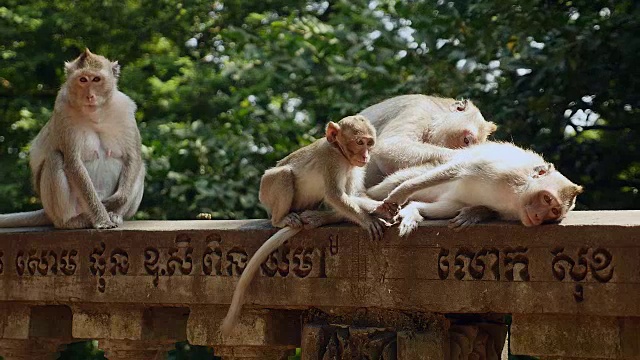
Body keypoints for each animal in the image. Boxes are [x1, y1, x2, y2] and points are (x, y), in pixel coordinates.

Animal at [0, 48, 145, 228]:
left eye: (96, 79)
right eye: (82, 80)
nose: (90, 96)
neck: (96, 116)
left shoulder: (125, 110)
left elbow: (133, 157)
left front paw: (115, 203)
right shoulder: (63, 114)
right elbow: (74, 164)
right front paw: (102, 219)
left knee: (141, 167)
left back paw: (115, 214)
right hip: (58, 209)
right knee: (55, 158)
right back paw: (73, 221)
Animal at [221, 114, 384, 334]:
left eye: (369, 143)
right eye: (359, 142)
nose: (366, 156)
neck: (341, 153)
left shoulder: (353, 168)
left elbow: (352, 195)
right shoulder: (331, 161)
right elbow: (335, 196)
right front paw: (368, 219)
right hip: (267, 190)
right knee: (284, 175)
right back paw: (282, 219)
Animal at [368, 141, 584, 236]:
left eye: (553, 211)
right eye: (547, 198)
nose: (539, 216)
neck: (518, 193)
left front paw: (475, 213)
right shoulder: (504, 169)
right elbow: (459, 169)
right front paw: (399, 194)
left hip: (448, 199)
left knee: (448, 206)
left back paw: (413, 210)